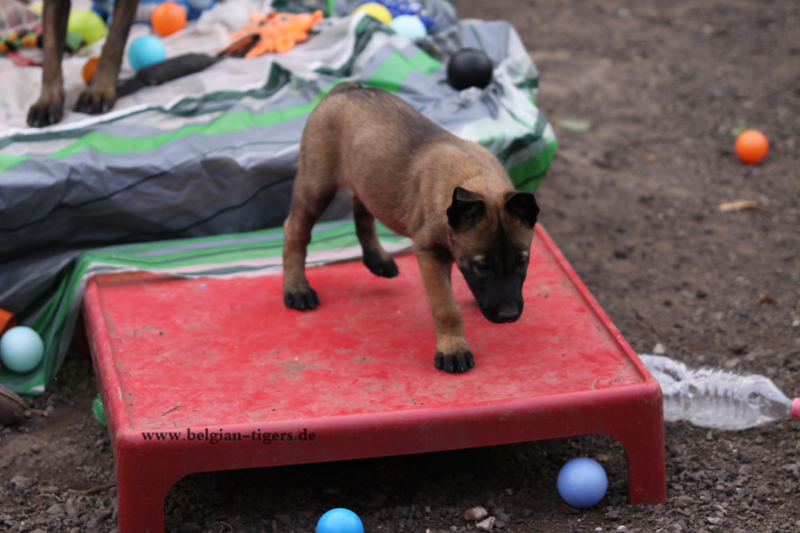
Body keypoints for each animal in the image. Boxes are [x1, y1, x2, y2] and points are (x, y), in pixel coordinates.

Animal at [282, 83, 540, 373]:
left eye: (522, 263)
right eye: (483, 266)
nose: (509, 316)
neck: (475, 178)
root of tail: (347, 87)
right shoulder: (429, 253)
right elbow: (445, 306)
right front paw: (453, 348)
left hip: (368, 179)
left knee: (360, 207)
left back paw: (377, 259)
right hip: (316, 186)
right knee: (295, 231)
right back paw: (297, 289)